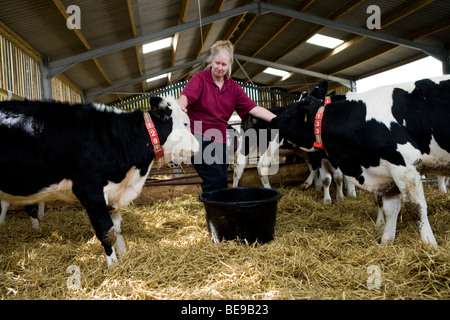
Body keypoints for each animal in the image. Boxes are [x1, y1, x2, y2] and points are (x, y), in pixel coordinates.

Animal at [0, 96, 199, 266]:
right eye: (185, 122)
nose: (197, 146)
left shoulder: (112, 193)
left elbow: (116, 228)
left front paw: (124, 254)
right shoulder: (90, 190)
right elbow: (106, 232)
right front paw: (113, 266)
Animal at [270, 76, 450, 246]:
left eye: (289, 113)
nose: (271, 120)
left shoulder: (404, 168)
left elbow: (416, 208)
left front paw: (429, 245)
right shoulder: (384, 171)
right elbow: (389, 207)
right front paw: (385, 239)